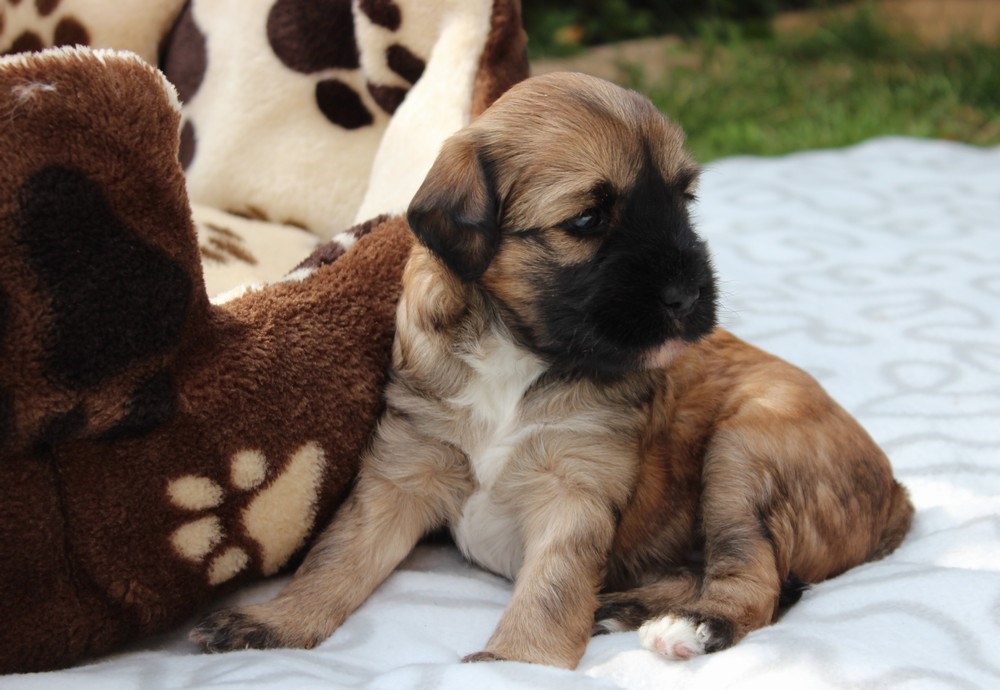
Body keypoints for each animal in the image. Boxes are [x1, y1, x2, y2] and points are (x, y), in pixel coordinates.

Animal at [191, 72, 913, 668]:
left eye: (684, 201)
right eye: (588, 219)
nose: (688, 298)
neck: (516, 352)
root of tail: (897, 495)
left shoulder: (576, 490)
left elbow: (552, 587)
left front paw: (516, 663)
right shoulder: (401, 470)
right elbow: (335, 560)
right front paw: (278, 621)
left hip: (746, 452)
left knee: (756, 581)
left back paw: (690, 625)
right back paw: (626, 606)